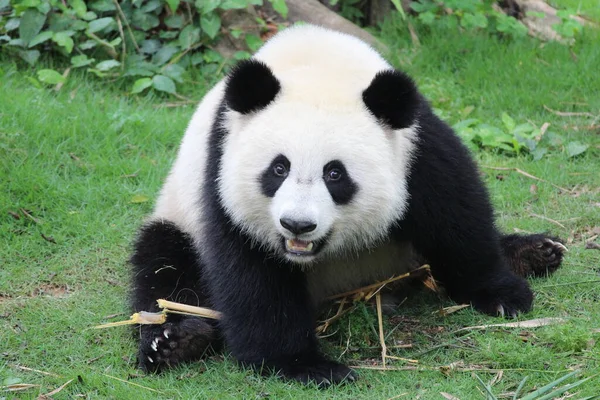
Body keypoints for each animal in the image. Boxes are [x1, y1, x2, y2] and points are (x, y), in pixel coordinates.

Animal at [129, 24, 564, 384]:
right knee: (163, 266)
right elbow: (250, 272)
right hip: (177, 214)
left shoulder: (416, 147)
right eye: (278, 168)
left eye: (335, 174)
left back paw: (535, 251)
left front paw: (503, 295)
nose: (297, 225)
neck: (317, 65)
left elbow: (457, 217)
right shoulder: (221, 168)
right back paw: (175, 341)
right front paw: (304, 365)